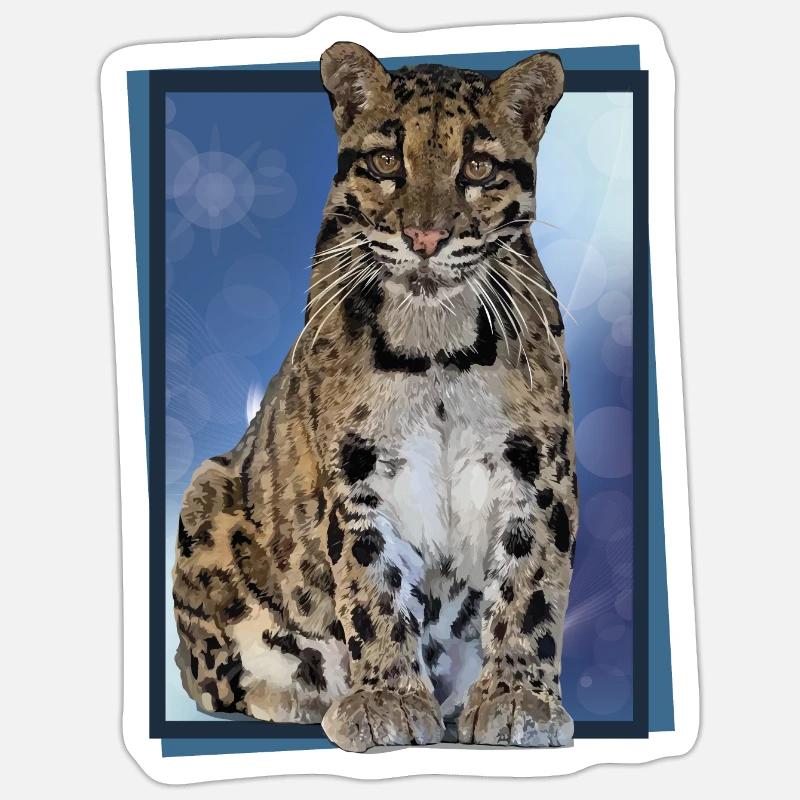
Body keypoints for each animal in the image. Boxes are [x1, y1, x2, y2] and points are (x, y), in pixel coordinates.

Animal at [172, 41, 577, 751]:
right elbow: (372, 585)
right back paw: (303, 694)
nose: (425, 239)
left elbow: (530, 584)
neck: (436, 346)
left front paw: (517, 697)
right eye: (389, 161)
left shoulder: (537, 467)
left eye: (477, 166)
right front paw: (387, 698)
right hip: (205, 492)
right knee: (213, 679)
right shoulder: (356, 471)